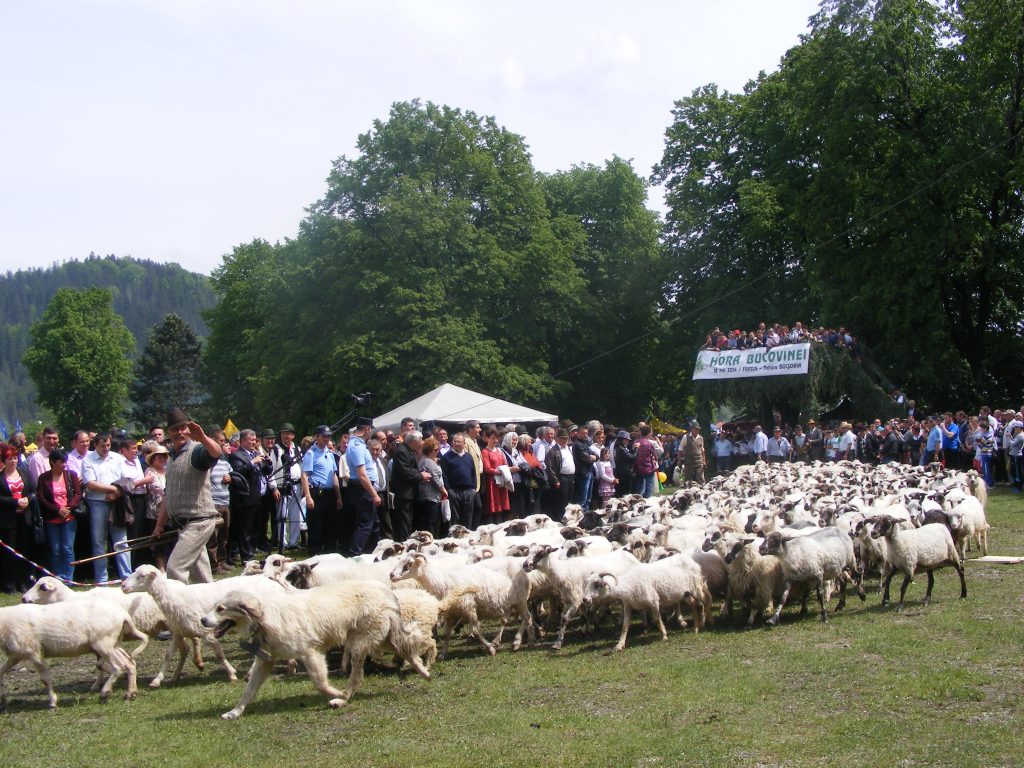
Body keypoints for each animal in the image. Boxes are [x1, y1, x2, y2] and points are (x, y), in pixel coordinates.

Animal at [0, 602, 142, 708]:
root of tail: (123, 614)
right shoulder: (16, 655)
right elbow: (1, 671)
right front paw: (2, 698)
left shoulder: (34, 653)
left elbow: (45, 679)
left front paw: (53, 701)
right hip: (114, 643)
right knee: (129, 663)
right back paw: (131, 693)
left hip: (103, 643)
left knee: (117, 666)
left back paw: (105, 692)